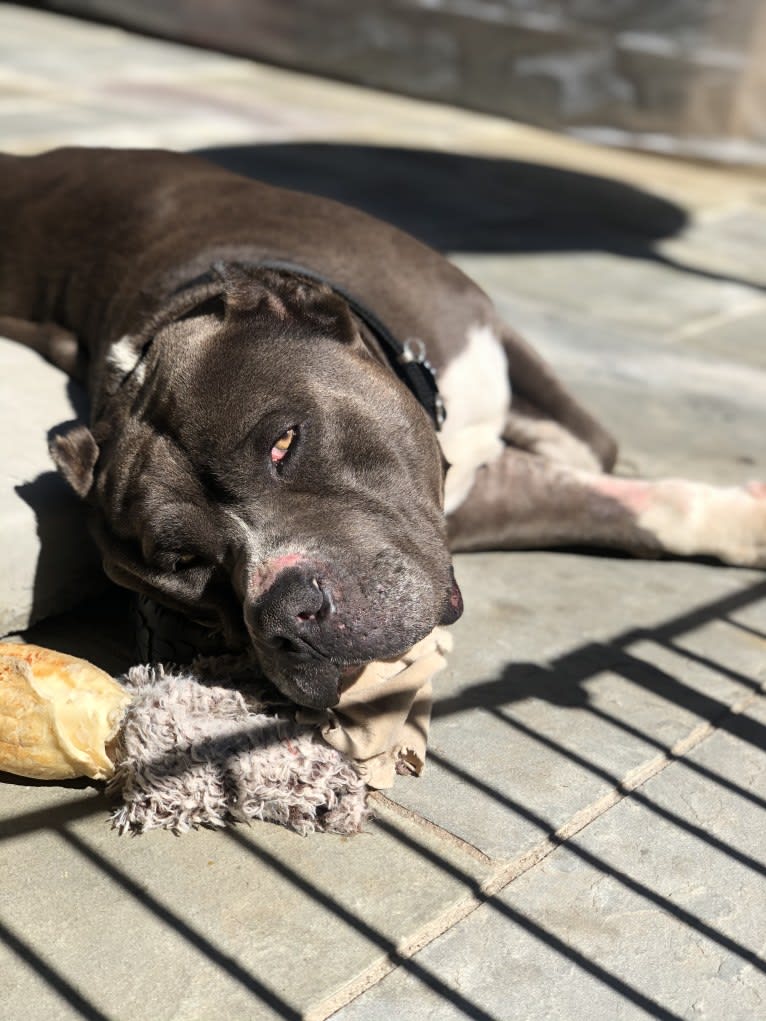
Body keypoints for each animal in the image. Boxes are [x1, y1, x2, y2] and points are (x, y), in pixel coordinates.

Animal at [1, 149, 766, 710]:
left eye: (285, 442)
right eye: (183, 565)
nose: (289, 613)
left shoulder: (490, 345)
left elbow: (602, 469)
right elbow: (605, 505)